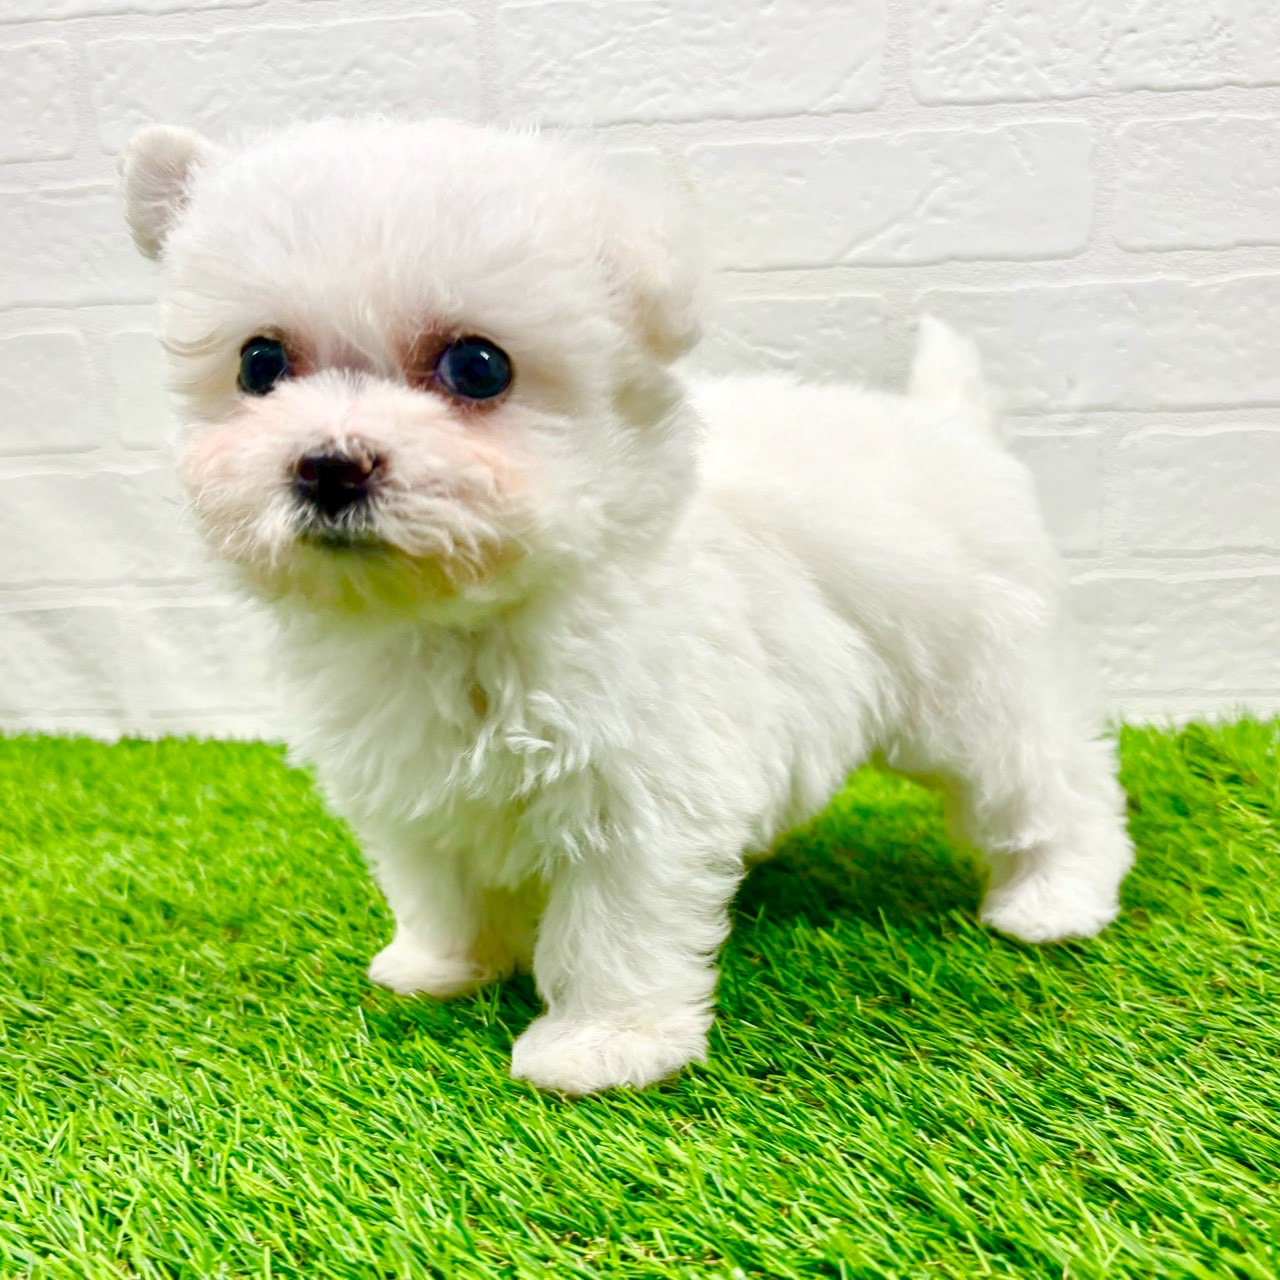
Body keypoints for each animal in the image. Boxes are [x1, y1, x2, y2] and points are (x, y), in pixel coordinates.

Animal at [119, 118, 1134, 1095]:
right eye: (259, 364)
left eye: (478, 368)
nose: (328, 464)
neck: (459, 626)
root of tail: (951, 428)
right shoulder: (408, 779)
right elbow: (438, 877)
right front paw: (445, 964)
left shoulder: (638, 789)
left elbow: (612, 926)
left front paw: (601, 1046)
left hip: (976, 685)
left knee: (1049, 778)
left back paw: (1057, 898)